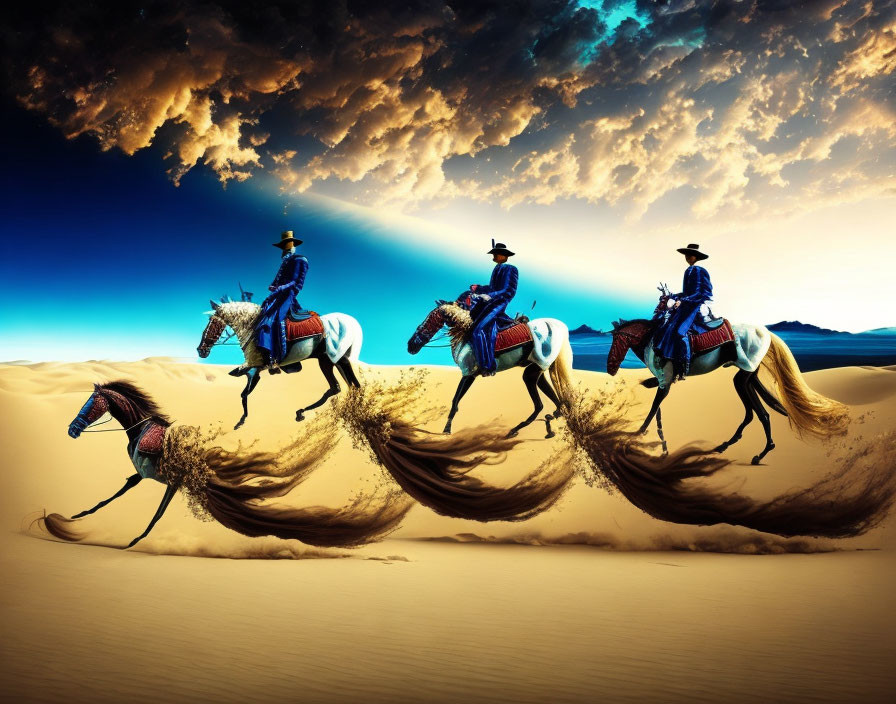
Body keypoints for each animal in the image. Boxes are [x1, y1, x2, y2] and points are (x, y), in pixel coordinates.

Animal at [198, 298, 362, 428]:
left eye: (213, 324)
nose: (201, 350)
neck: (253, 328)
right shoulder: (255, 370)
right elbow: (243, 390)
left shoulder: (255, 368)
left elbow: (244, 392)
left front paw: (241, 421)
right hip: (333, 359)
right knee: (345, 385)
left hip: (330, 359)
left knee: (343, 385)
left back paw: (301, 412)